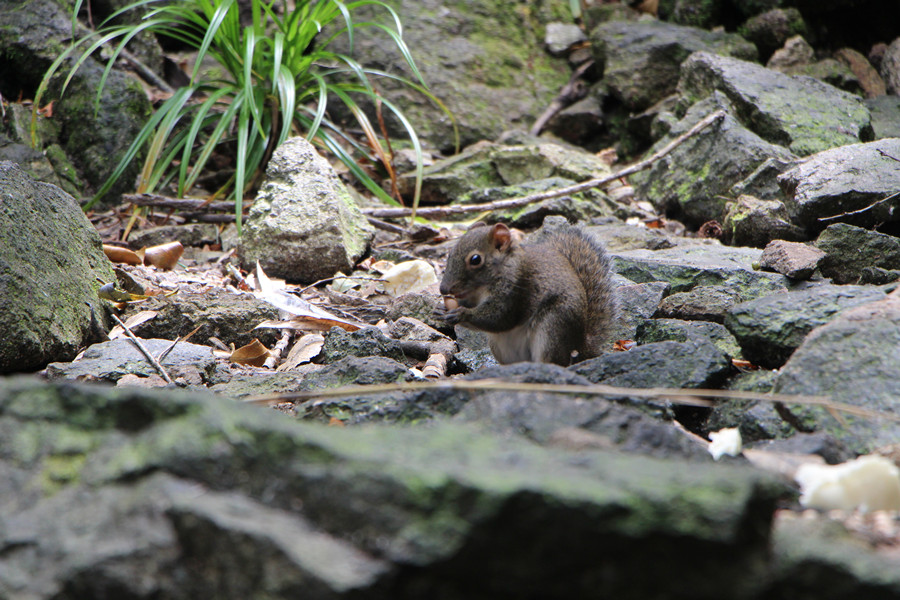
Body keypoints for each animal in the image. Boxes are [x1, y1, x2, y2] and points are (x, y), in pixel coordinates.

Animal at [436, 218, 620, 364]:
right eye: (451, 252)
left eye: (475, 259)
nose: (443, 289)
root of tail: (580, 344)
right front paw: (441, 308)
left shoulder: (515, 291)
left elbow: (499, 319)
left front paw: (461, 314)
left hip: (553, 327)